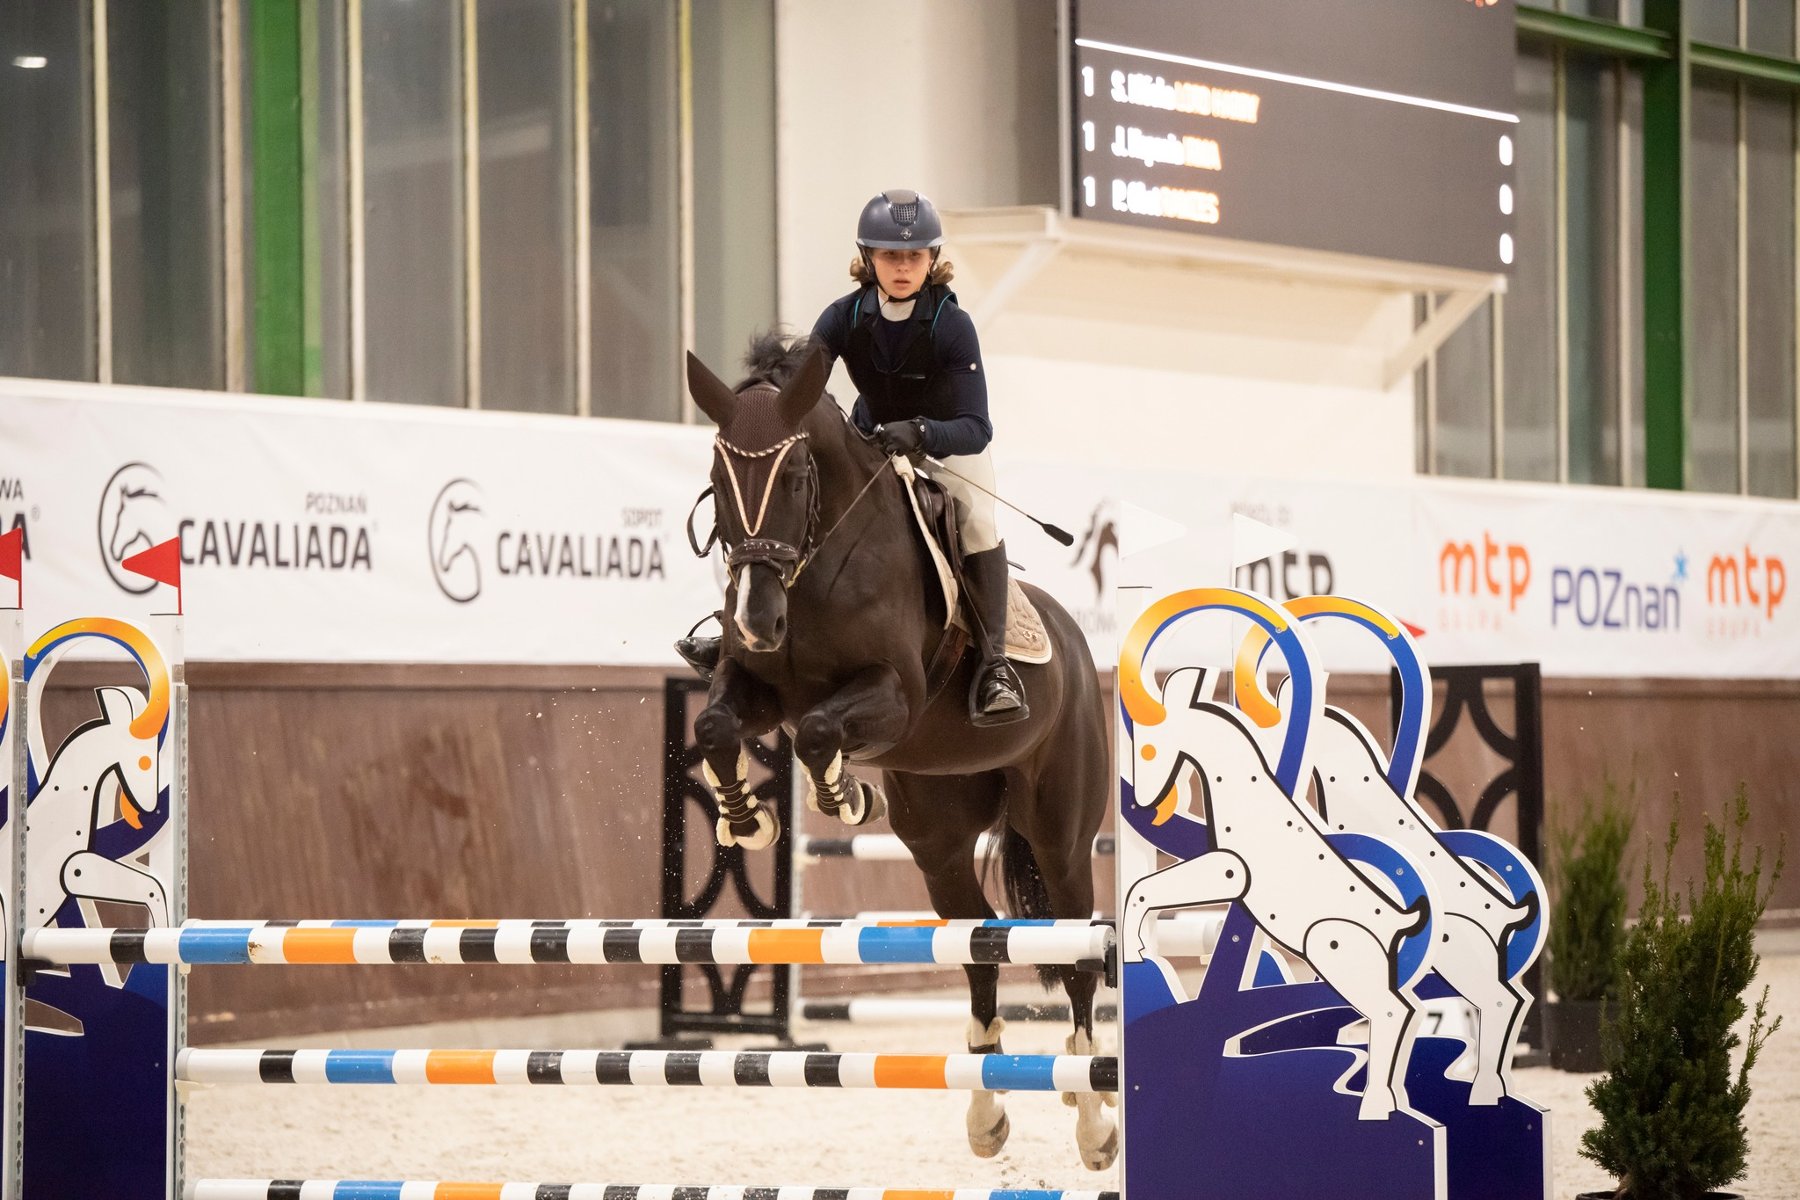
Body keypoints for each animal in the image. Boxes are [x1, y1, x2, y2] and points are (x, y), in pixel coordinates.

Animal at [684, 332, 1116, 1165]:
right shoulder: (754, 687)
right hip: (938, 844)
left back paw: (1094, 1118)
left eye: (795, 477)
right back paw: (984, 1113)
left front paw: (843, 793)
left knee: (1078, 951)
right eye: (718, 477)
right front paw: (746, 817)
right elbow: (717, 728)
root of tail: (1078, 649)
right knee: (979, 943)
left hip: (1060, 835)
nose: (756, 619)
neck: (812, 566)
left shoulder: (895, 697)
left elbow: (821, 730)